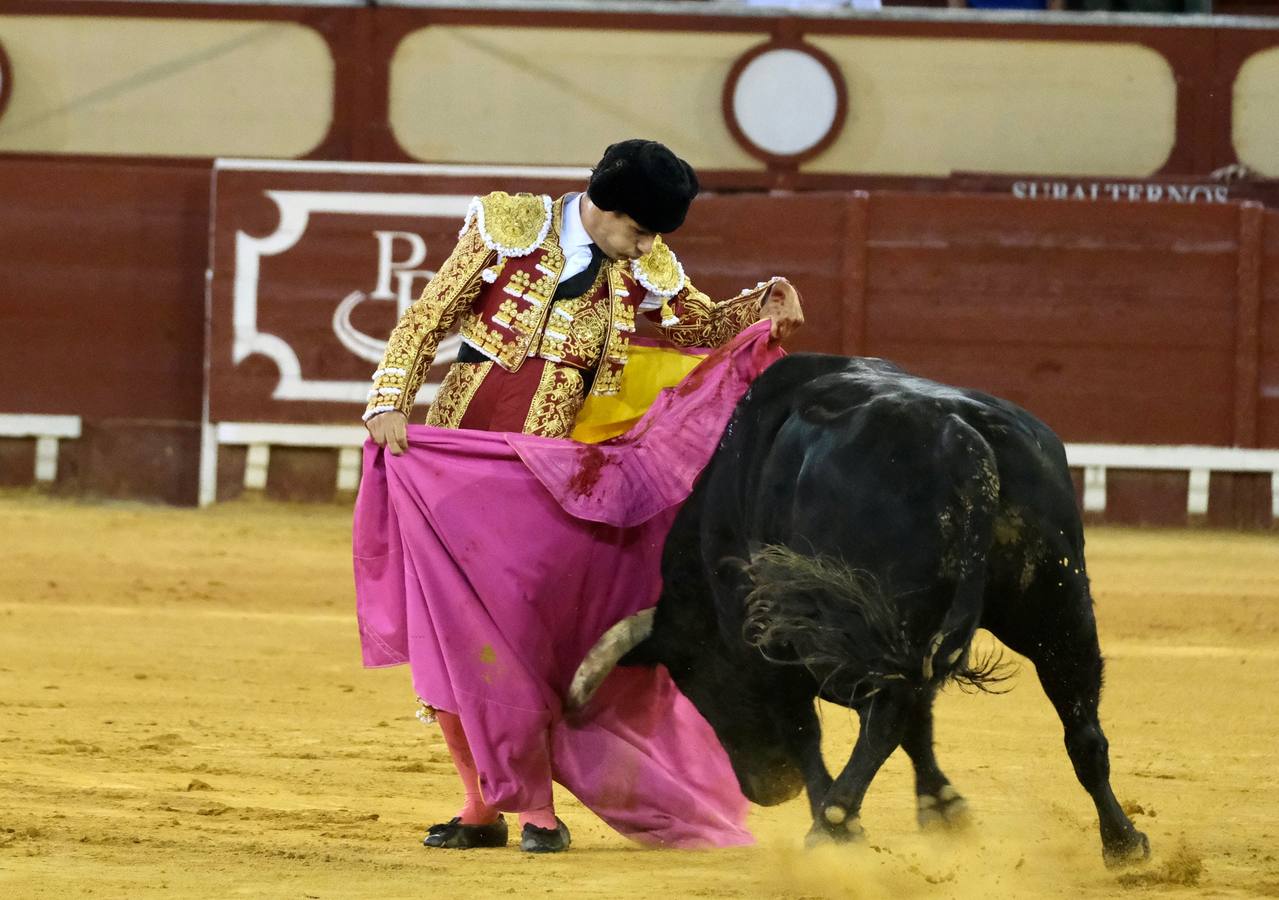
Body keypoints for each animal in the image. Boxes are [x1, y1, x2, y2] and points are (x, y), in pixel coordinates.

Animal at [570, 352, 1151, 864]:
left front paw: (839, 812)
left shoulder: (771, 648)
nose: (767, 789)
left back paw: (834, 822)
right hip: (1056, 603)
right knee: (1079, 719)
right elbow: (918, 722)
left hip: (865, 626)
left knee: (886, 714)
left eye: (697, 685)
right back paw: (1123, 844)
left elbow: (808, 729)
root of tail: (961, 438)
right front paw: (943, 808)